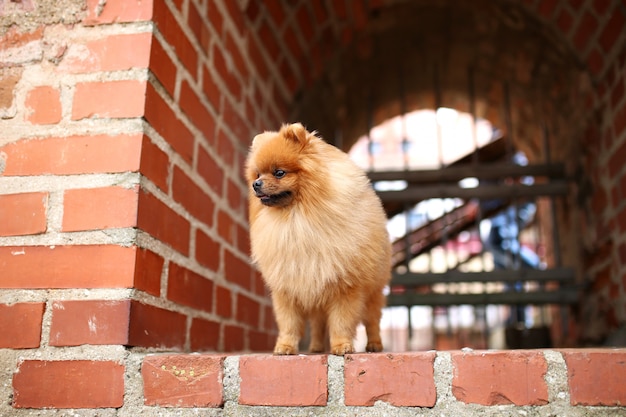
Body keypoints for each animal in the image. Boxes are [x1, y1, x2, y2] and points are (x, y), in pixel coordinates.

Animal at [245, 122, 388, 354]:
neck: (296, 220)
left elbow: (341, 321)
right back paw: (316, 347)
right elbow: (289, 323)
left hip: (373, 292)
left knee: (372, 320)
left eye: (279, 173)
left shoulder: (345, 287)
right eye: (257, 174)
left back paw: (374, 344)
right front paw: (285, 346)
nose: (256, 184)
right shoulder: (287, 288)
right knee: (318, 324)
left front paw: (342, 345)